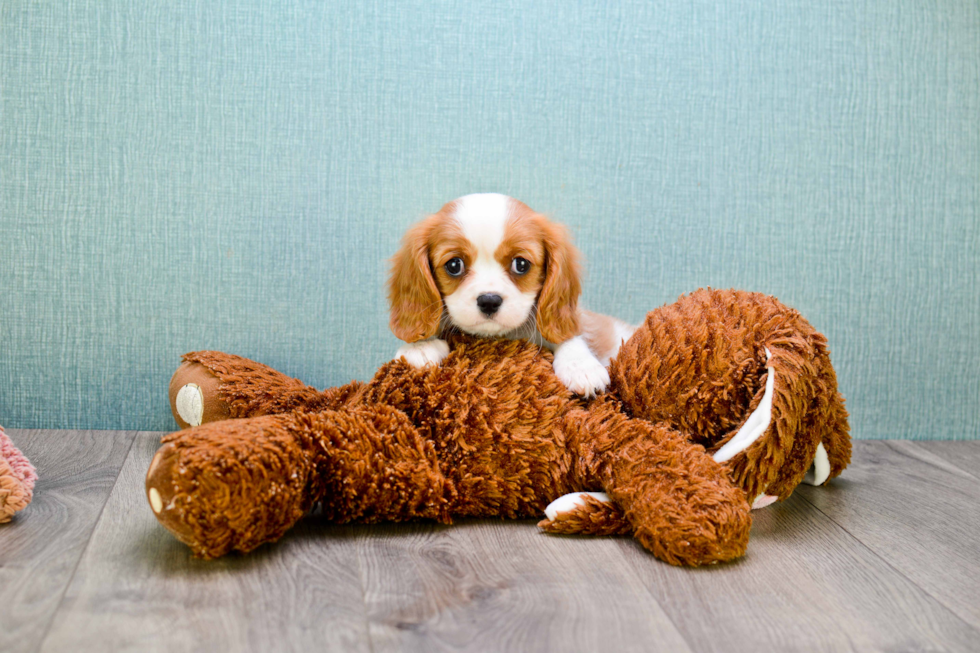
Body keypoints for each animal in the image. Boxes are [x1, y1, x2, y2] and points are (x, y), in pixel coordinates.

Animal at [384, 192, 636, 398]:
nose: (489, 300)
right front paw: (420, 345)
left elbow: (571, 335)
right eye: (454, 265)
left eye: (521, 264)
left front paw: (580, 366)